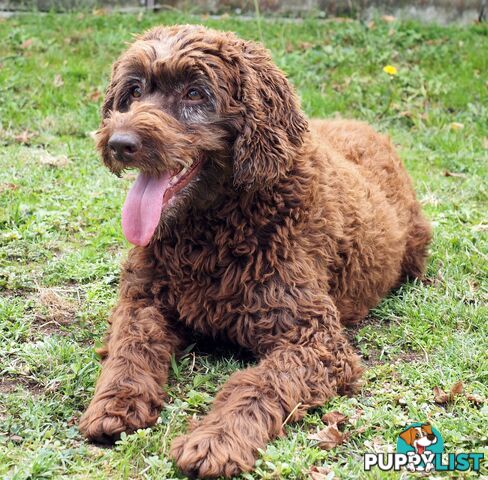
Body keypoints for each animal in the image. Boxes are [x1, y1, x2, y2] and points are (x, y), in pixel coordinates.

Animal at [79, 24, 430, 478]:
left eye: (195, 93)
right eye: (134, 90)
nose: (119, 143)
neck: (209, 234)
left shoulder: (315, 342)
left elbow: (258, 382)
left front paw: (216, 440)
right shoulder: (142, 301)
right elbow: (130, 349)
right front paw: (115, 404)